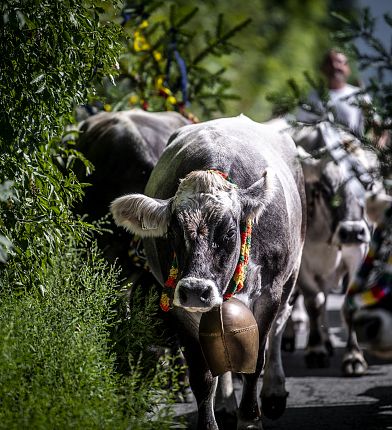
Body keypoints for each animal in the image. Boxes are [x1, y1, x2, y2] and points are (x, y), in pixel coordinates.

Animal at [110, 115, 306, 430]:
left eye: (229, 232)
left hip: (292, 274)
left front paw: (250, 419)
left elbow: (255, 362)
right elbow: (203, 376)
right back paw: (225, 406)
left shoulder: (269, 294)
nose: (195, 290)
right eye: (173, 233)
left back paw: (274, 393)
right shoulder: (179, 305)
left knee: (279, 327)